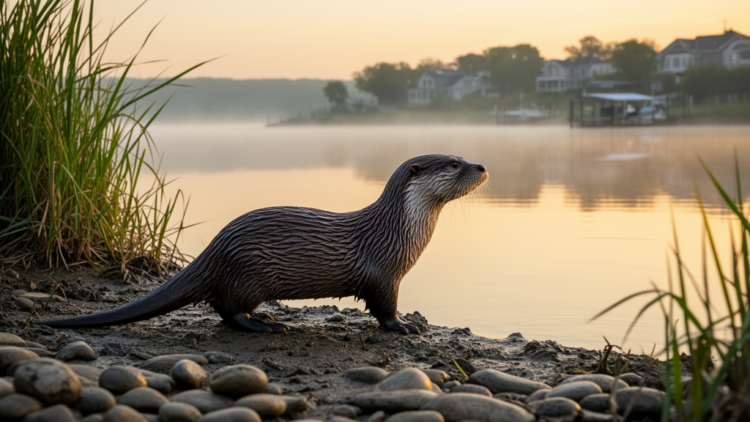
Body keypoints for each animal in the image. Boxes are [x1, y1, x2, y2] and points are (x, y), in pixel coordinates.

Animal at [41, 155, 488, 334]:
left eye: (462, 156)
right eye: (453, 163)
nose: (482, 165)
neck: (398, 232)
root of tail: (215, 249)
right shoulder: (383, 274)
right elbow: (384, 309)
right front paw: (406, 325)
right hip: (248, 273)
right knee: (228, 309)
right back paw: (267, 324)